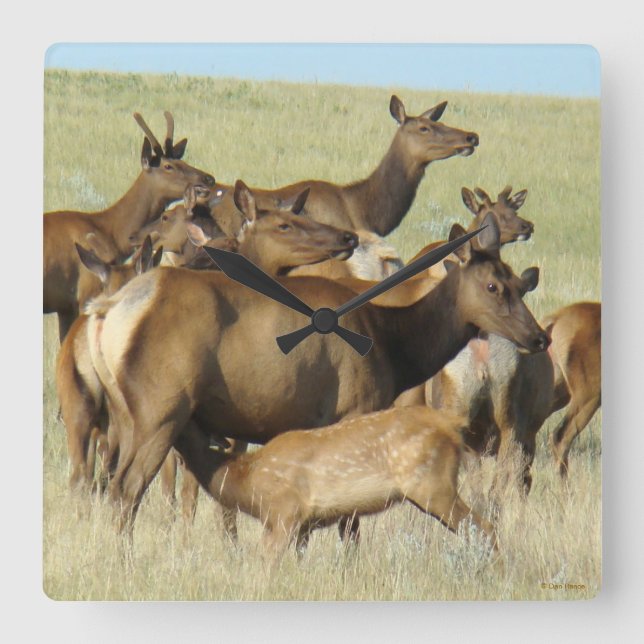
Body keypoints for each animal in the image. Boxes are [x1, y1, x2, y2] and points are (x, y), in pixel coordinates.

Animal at [44, 111, 215, 341]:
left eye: (182, 159)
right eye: (168, 166)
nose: (208, 179)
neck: (110, 233)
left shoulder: (65, 306)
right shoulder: (87, 291)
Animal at [85, 214, 548, 538]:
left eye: (517, 282)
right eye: (493, 286)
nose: (539, 336)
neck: (397, 348)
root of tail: (109, 310)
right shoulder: (355, 406)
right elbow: (350, 519)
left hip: (125, 414)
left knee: (112, 482)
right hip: (160, 410)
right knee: (127, 488)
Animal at [173, 406, 498, 559]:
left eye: (184, 420)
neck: (248, 480)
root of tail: (451, 425)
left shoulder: (285, 511)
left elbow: (266, 563)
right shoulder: (304, 525)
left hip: (433, 484)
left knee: (485, 527)